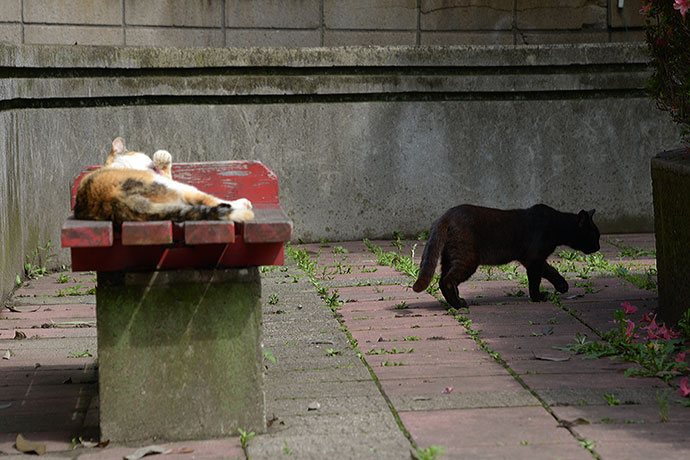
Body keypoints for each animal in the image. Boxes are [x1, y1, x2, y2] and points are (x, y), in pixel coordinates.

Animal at [73, 138, 255, 225]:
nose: (149, 160)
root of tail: (115, 200)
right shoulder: (163, 177)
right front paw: (162, 156)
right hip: (177, 187)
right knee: (210, 200)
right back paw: (243, 203)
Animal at [412, 205, 600, 310]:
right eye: (595, 235)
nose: (598, 247)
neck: (556, 225)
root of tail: (444, 216)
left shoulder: (532, 259)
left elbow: (550, 270)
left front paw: (562, 285)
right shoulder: (534, 259)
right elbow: (535, 280)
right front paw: (537, 298)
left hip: (449, 257)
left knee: (443, 278)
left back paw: (457, 300)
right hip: (468, 259)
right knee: (447, 280)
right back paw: (459, 305)